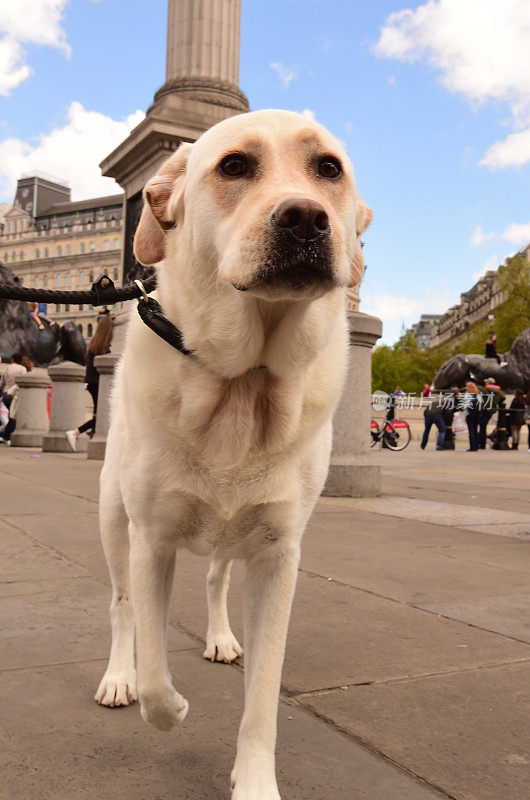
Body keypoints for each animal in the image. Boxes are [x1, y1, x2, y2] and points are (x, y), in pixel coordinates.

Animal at [93, 108, 370, 800]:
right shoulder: (151, 539)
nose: (305, 217)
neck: (244, 382)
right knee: (120, 607)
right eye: (234, 165)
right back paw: (117, 677)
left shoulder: (278, 556)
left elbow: (264, 697)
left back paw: (220, 637)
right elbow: (156, 665)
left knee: (216, 577)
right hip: (112, 519)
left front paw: (255, 781)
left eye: (328, 168)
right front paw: (169, 707)